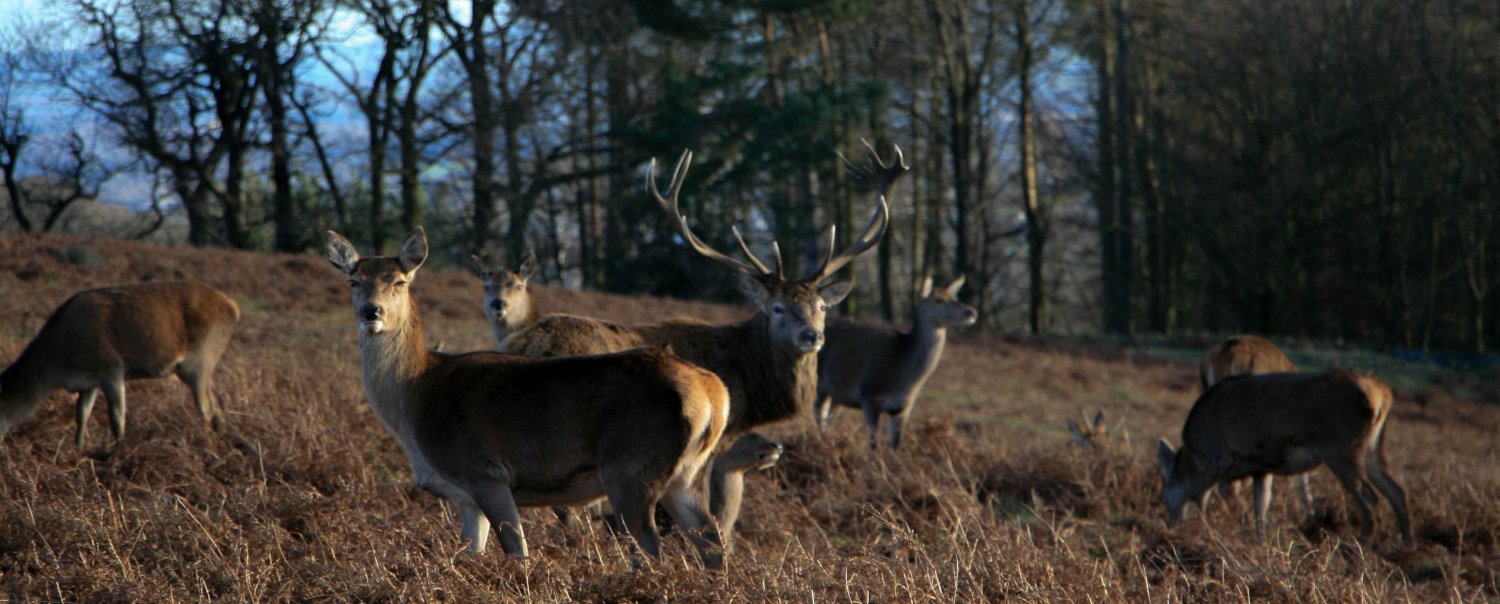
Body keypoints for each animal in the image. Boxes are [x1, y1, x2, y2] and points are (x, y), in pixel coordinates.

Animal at [0, 283, 238, 449]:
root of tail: (233, 307)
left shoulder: (112, 369)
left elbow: (117, 416)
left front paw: (117, 452)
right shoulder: (88, 381)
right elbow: (82, 414)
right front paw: (78, 449)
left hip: (200, 360)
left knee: (205, 409)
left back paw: (206, 444)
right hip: (194, 368)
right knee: (218, 401)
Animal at [325, 227, 729, 566]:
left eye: (399, 280)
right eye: (353, 280)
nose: (371, 311)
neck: (417, 398)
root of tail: (713, 393)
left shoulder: (485, 472)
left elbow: (518, 554)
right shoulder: (464, 495)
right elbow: (470, 554)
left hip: (631, 468)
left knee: (653, 548)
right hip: (690, 472)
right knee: (712, 542)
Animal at [816, 274, 978, 449]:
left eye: (955, 298)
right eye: (939, 300)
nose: (972, 312)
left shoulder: (903, 408)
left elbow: (895, 445)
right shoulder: (868, 394)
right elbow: (873, 444)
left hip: (837, 395)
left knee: (828, 416)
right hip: (819, 382)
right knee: (818, 413)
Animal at [1152, 368, 1410, 542]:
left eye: (1163, 494)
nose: (1171, 523)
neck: (1195, 455)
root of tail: (1383, 397)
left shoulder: (1217, 460)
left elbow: (1203, 497)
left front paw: (1204, 530)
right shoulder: (1260, 467)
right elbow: (1261, 506)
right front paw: (1261, 541)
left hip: (1342, 449)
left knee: (1370, 498)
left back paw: (1361, 545)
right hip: (1370, 451)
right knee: (1396, 491)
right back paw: (1406, 544)